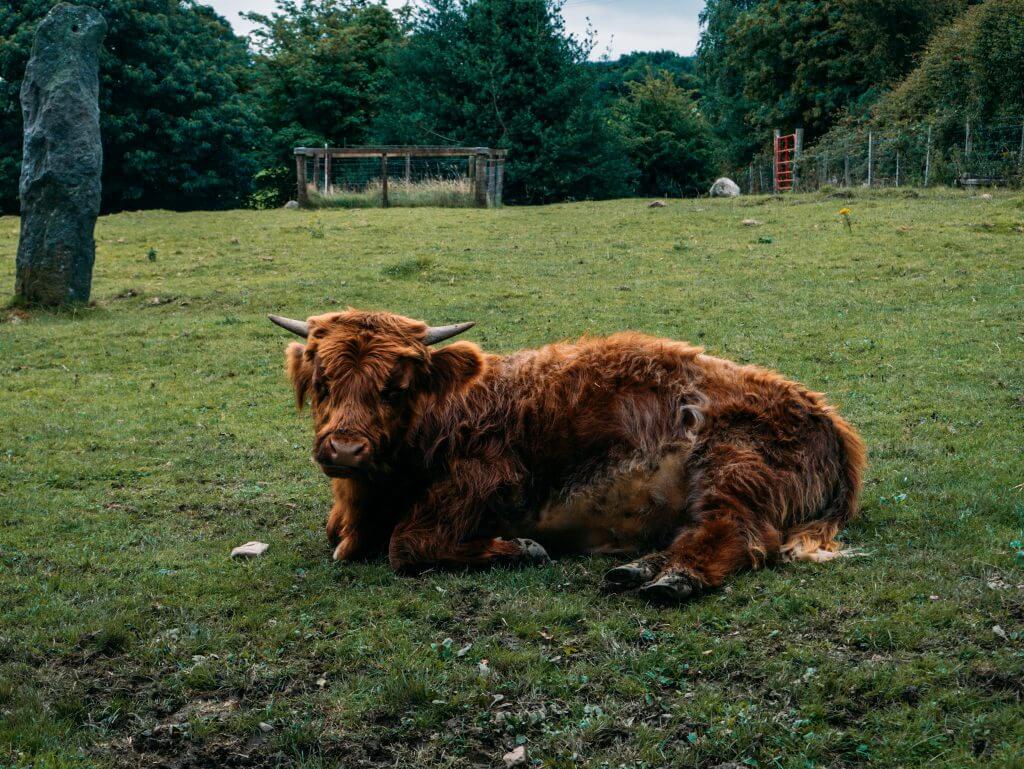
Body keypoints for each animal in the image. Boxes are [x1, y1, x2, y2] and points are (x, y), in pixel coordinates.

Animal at [269, 309, 866, 601]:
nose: (345, 449)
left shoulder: (489, 479)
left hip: (732, 467)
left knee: (734, 534)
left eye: (395, 387)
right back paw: (638, 569)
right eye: (322, 381)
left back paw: (672, 580)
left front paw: (521, 549)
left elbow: (407, 545)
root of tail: (824, 413)